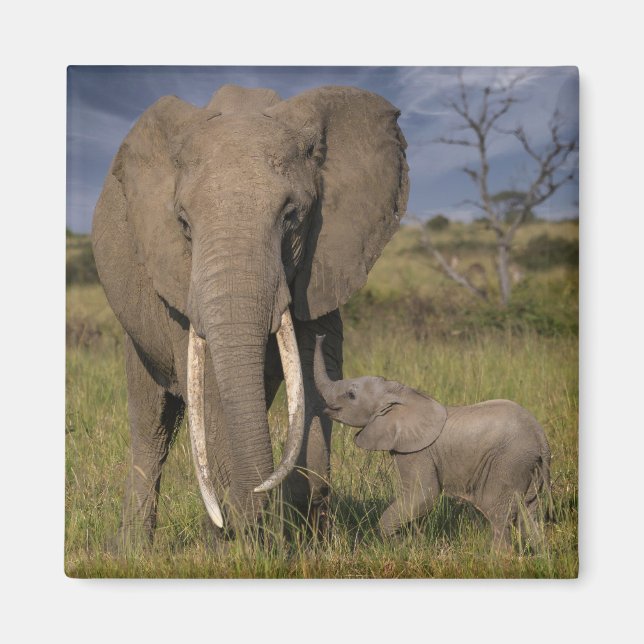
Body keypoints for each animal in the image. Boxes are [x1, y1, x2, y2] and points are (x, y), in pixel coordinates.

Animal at [91, 84, 409, 545]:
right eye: (183, 224)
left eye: (292, 216)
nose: (259, 501)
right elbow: (208, 390)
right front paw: (240, 541)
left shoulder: (323, 261)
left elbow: (316, 372)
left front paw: (305, 534)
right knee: (152, 426)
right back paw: (136, 551)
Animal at [313, 335, 552, 546]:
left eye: (351, 395)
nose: (320, 335)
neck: (401, 394)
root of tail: (540, 436)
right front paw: (410, 543)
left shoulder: (417, 451)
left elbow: (424, 494)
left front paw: (399, 546)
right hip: (529, 466)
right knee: (528, 512)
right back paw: (539, 555)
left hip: (509, 461)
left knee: (498, 512)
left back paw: (498, 559)